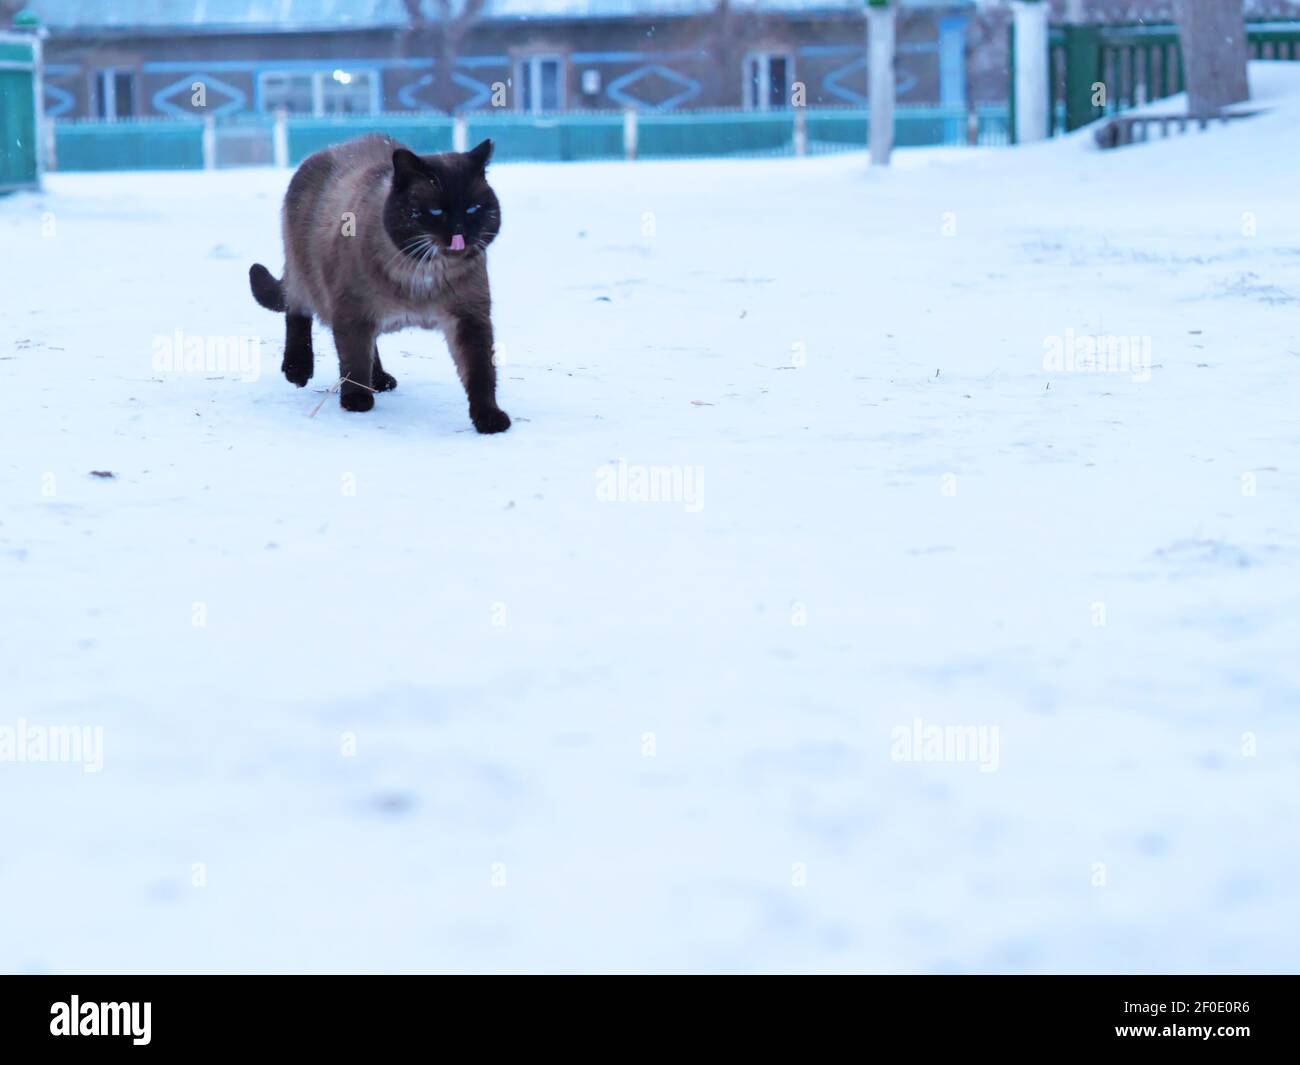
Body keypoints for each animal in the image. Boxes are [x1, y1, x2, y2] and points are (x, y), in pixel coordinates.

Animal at [245, 135, 509, 431]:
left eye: (474, 209)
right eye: (435, 211)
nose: (460, 234)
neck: (423, 274)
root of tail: (330, 149)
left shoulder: (469, 318)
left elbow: (481, 374)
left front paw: (489, 418)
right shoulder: (352, 313)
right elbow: (354, 361)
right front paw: (357, 402)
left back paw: (381, 380)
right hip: (306, 275)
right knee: (297, 310)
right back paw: (298, 370)